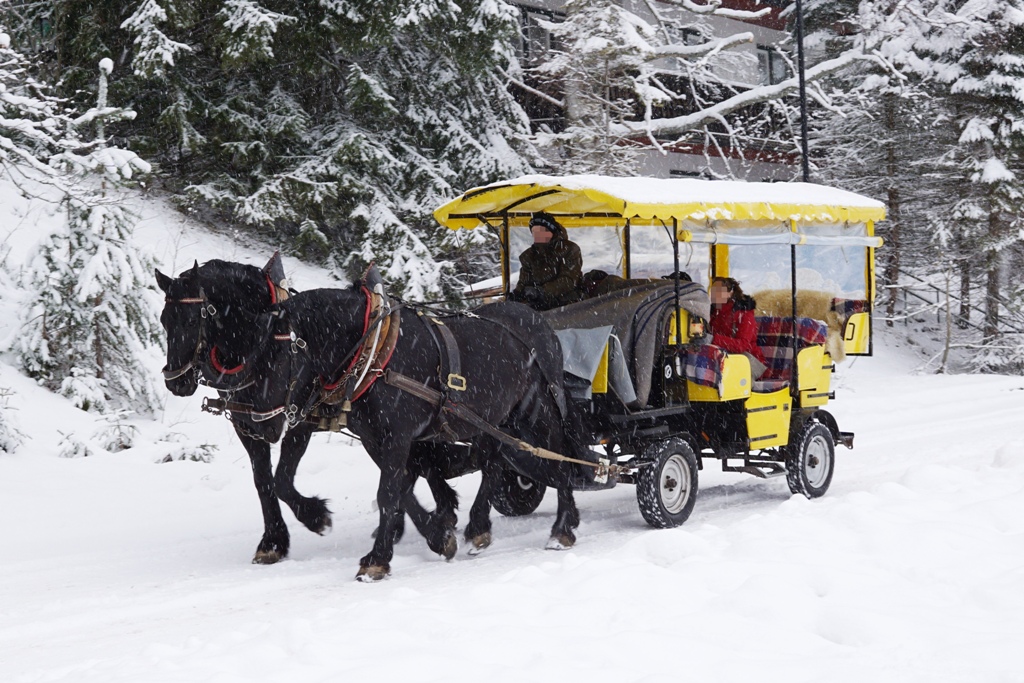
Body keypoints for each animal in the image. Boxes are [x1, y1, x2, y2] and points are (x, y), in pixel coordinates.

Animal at [156, 259, 460, 565]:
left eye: (192, 320)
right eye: (163, 320)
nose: (176, 381)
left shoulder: (300, 420)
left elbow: (282, 479)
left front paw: (315, 517)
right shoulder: (248, 426)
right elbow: (263, 481)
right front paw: (273, 541)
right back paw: (436, 514)